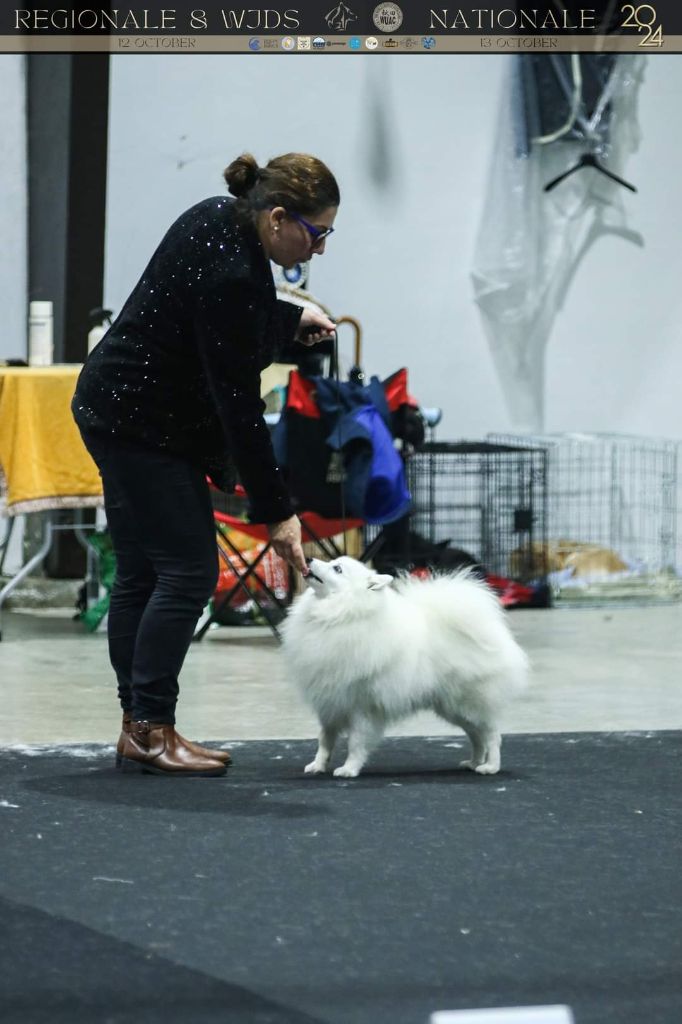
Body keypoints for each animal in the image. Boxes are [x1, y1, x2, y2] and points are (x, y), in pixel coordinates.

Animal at [278, 561, 528, 774]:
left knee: (492, 735)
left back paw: (490, 766)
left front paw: (349, 769)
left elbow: (356, 742)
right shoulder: (330, 702)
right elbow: (324, 740)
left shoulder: (362, 705)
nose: (309, 559)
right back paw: (474, 762)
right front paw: (318, 765)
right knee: (477, 736)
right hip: (454, 708)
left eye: (337, 568)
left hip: (469, 702)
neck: (342, 613)